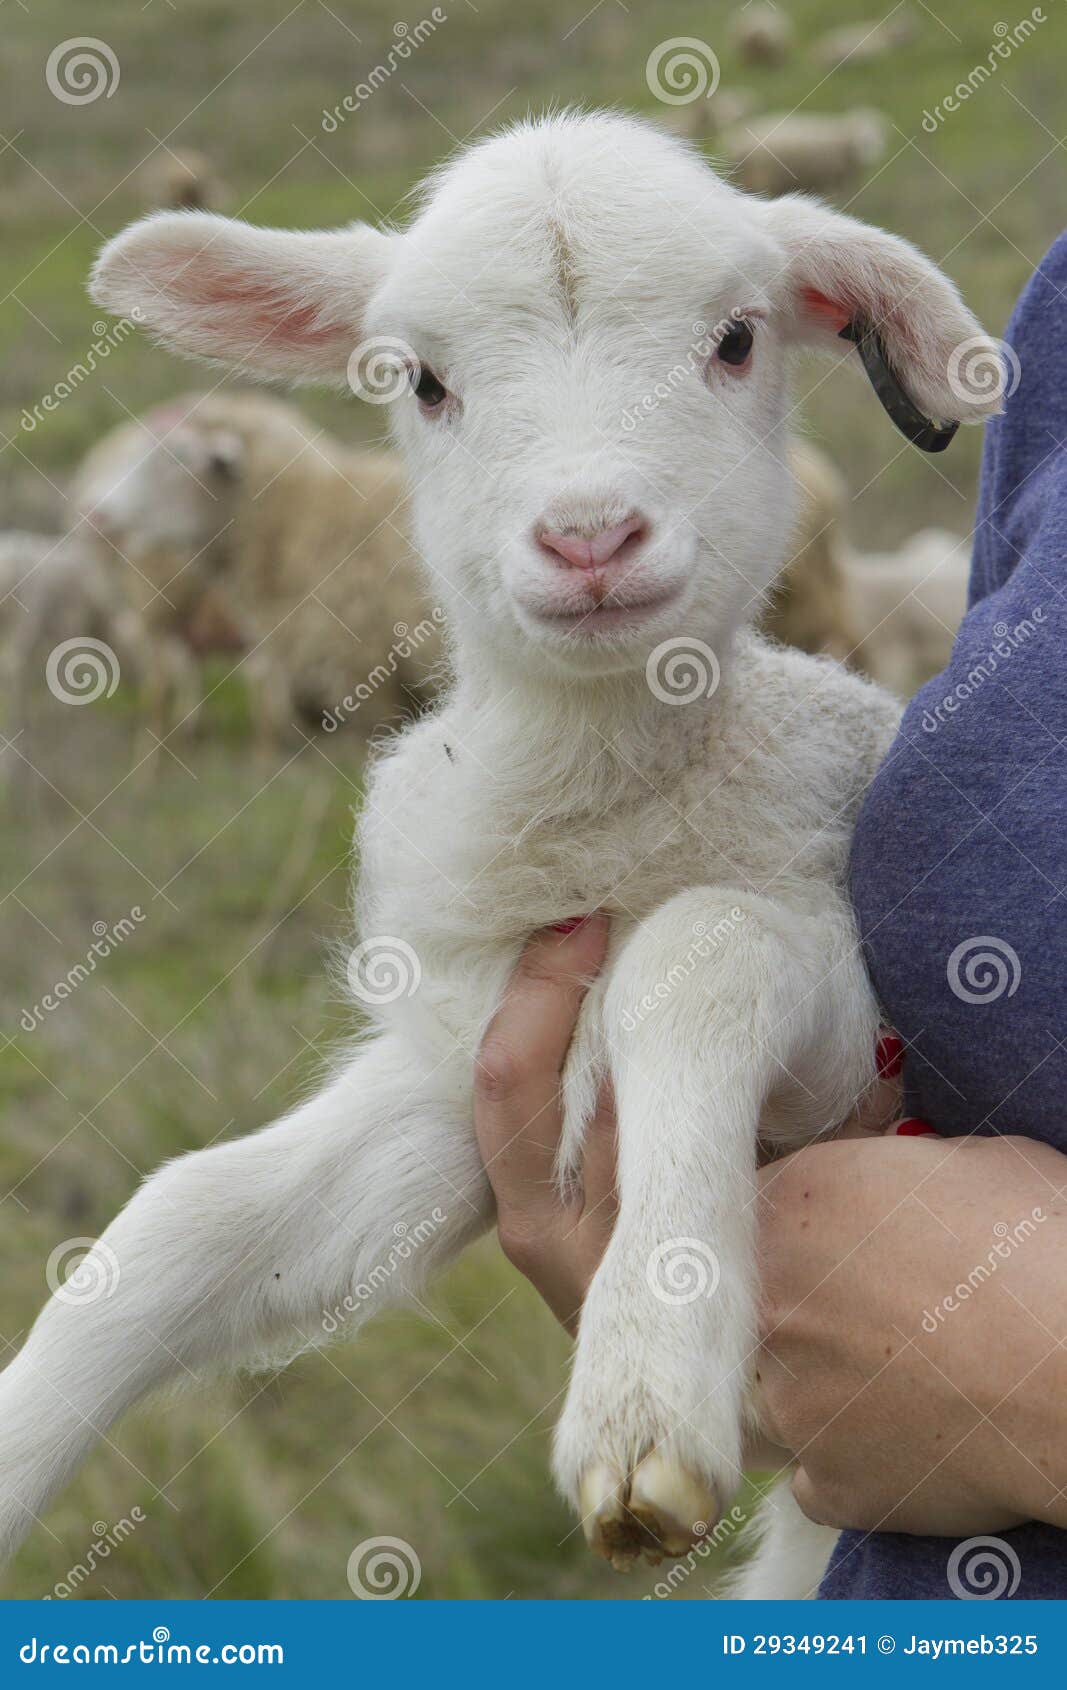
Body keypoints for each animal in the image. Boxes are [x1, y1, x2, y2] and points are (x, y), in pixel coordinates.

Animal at [721, 108, 888, 196]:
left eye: (877, 135)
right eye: (859, 137)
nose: (869, 155)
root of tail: (736, 142)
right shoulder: (828, 180)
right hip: (761, 176)